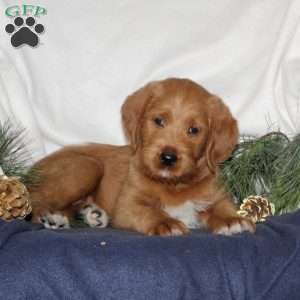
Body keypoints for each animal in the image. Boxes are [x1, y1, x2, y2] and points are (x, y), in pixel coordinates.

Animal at [29, 78, 255, 236]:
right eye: (158, 121)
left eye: (193, 130)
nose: (168, 157)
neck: (174, 185)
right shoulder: (127, 205)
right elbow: (148, 211)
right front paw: (165, 222)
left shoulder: (215, 195)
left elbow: (223, 207)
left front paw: (231, 220)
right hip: (86, 166)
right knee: (36, 200)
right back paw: (54, 218)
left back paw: (91, 214)